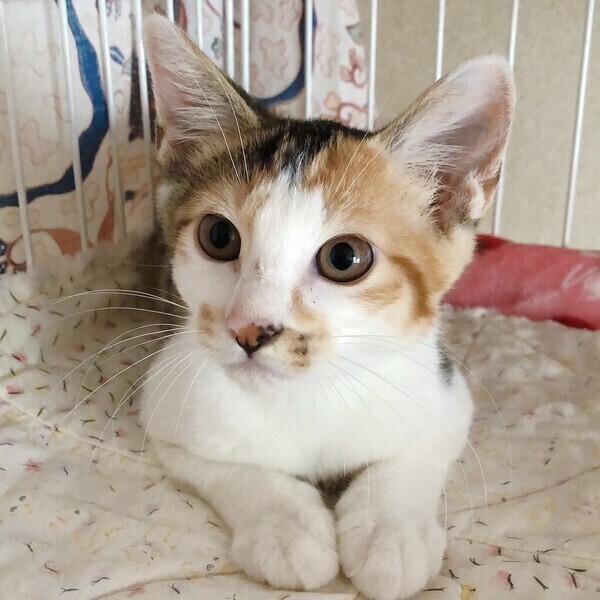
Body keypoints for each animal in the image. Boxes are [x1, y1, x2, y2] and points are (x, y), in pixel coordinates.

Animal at [140, 14, 514, 600]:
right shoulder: (167, 410)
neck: (306, 394)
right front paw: (287, 530)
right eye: (218, 236)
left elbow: (408, 460)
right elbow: (233, 469)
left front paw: (391, 535)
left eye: (345, 258)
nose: (249, 329)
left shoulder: (446, 398)